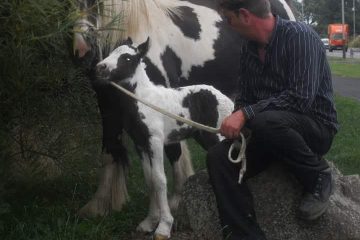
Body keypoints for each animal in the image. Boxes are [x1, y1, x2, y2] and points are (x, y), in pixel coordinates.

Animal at [95, 38, 235, 238]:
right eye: (111, 52)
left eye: (127, 58)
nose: (100, 67)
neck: (144, 100)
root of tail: (228, 101)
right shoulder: (140, 144)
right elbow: (150, 180)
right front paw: (149, 222)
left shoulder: (155, 141)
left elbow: (160, 179)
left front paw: (163, 226)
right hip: (204, 136)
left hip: (217, 135)